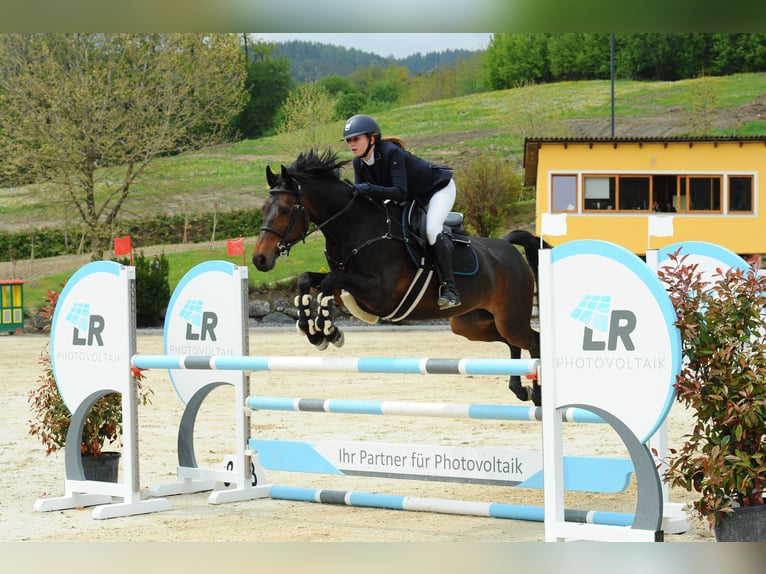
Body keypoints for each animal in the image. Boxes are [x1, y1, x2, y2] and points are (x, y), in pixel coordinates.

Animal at [255, 151, 544, 408]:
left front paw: (326, 330)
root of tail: (507, 246)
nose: (259, 259)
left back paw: (538, 395)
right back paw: (520, 390)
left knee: (533, 340)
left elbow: (329, 283)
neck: (356, 229)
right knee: (512, 342)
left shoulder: (380, 296)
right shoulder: (350, 287)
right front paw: (314, 331)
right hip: (471, 324)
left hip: (509, 317)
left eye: (285, 209)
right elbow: (308, 280)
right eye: (264, 208)